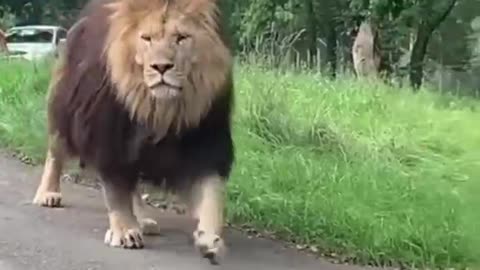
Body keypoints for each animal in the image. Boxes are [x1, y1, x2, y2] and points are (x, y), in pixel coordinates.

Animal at [31, 0, 234, 264]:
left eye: (181, 38)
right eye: (146, 38)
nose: (161, 67)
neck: (160, 109)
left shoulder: (205, 141)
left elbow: (212, 194)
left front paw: (210, 240)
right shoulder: (109, 137)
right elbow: (117, 192)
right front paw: (125, 231)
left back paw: (144, 220)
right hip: (65, 105)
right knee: (55, 151)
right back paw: (48, 193)